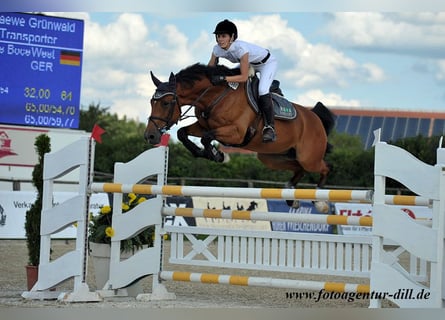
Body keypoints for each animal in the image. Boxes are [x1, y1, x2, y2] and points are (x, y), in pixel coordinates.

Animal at [144, 63, 334, 190]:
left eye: (166, 103)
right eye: (151, 102)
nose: (150, 136)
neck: (215, 96)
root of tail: (315, 118)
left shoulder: (236, 132)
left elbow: (207, 138)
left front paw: (218, 155)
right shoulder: (203, 126)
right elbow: (183, 133)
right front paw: (203, 153)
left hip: (309, 158)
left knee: (325, 167)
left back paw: (319, 199)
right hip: (272, 157)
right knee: (299, 169)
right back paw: (290, 195)